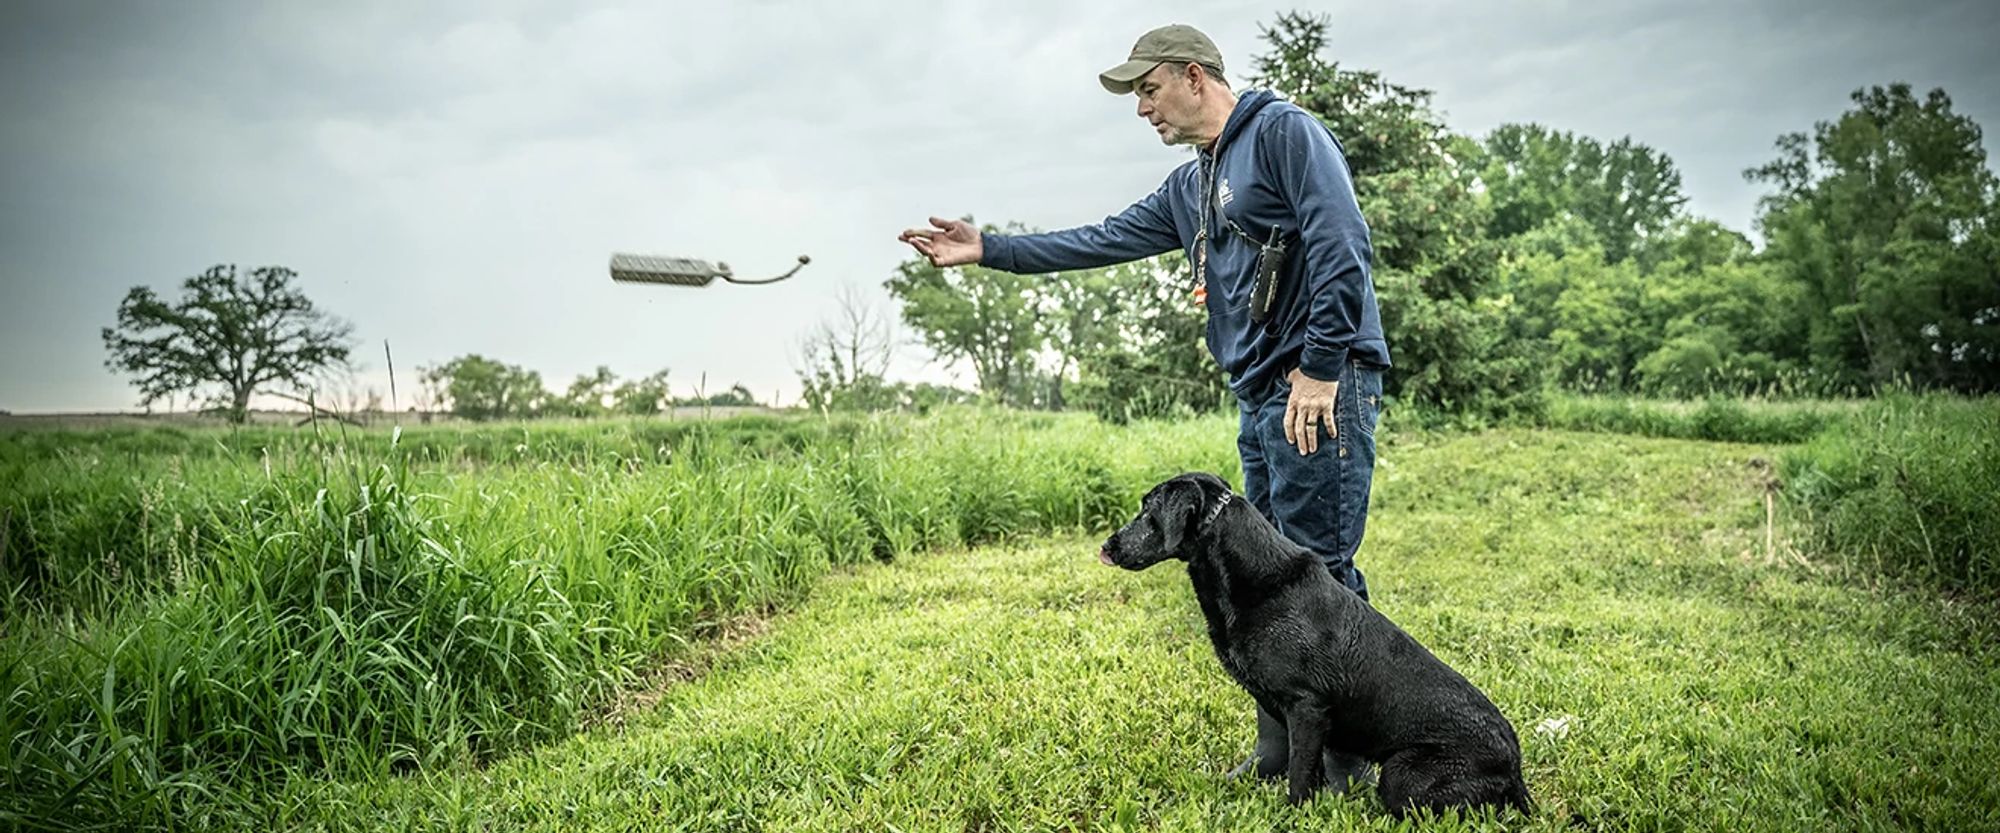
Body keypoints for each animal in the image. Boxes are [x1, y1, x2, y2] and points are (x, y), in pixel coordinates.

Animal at [1096, 472, 1528, 816]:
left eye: (1148, 511)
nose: (1106, 547)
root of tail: (1515, 767)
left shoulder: (1307, 706)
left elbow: (1300, 772)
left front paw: (1294, 813)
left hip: (1401, 773)